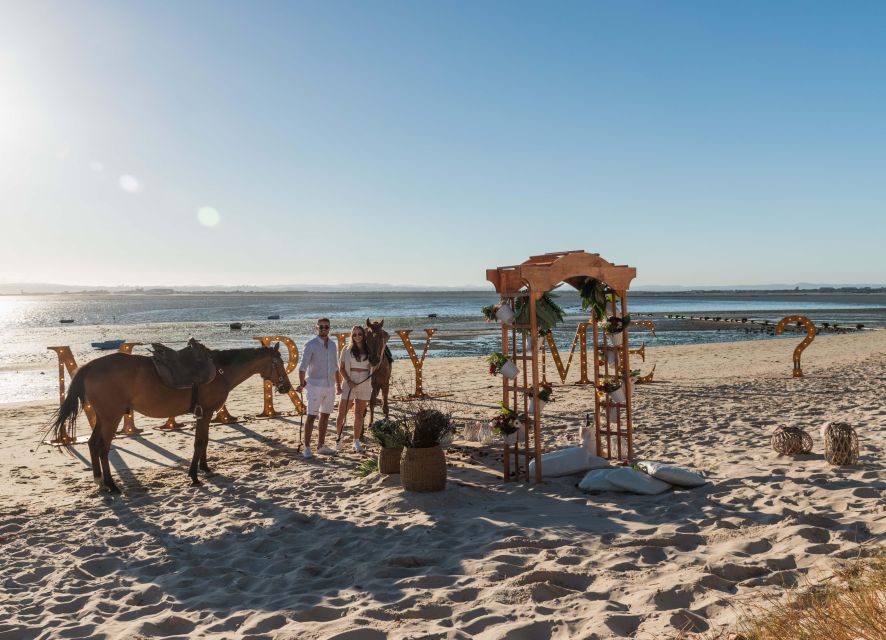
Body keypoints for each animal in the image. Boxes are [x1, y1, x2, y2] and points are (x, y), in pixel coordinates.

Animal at [50, 344, 292, 490]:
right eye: (279, 363)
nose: (287, 387)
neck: (220, 372)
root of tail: (89, 367)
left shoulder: (204, 415)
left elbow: (204, 442)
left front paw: (205, 468)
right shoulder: (206, 413)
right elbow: (200, 443)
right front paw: (194, 475)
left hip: (103, 417)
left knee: (93, 444)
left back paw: (100, 480)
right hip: (112, 417)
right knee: (102, 447)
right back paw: (112, 485)